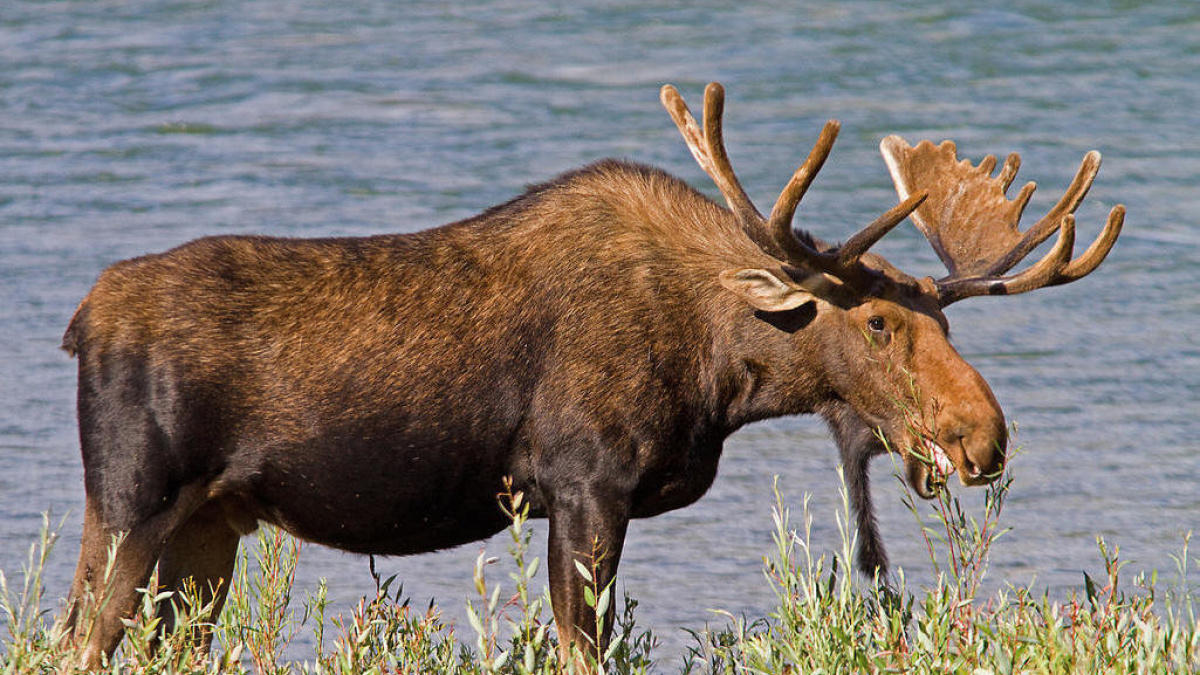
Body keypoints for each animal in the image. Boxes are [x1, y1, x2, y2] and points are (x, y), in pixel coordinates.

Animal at [60, 82, 1118, 662]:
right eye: (880, 321)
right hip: (130, 503)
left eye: (945, 316)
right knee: (73, 638)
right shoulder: (584, 484)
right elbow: (584, 645)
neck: (721, 374)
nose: (983, 436)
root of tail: (80, 322)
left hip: (212, 524)